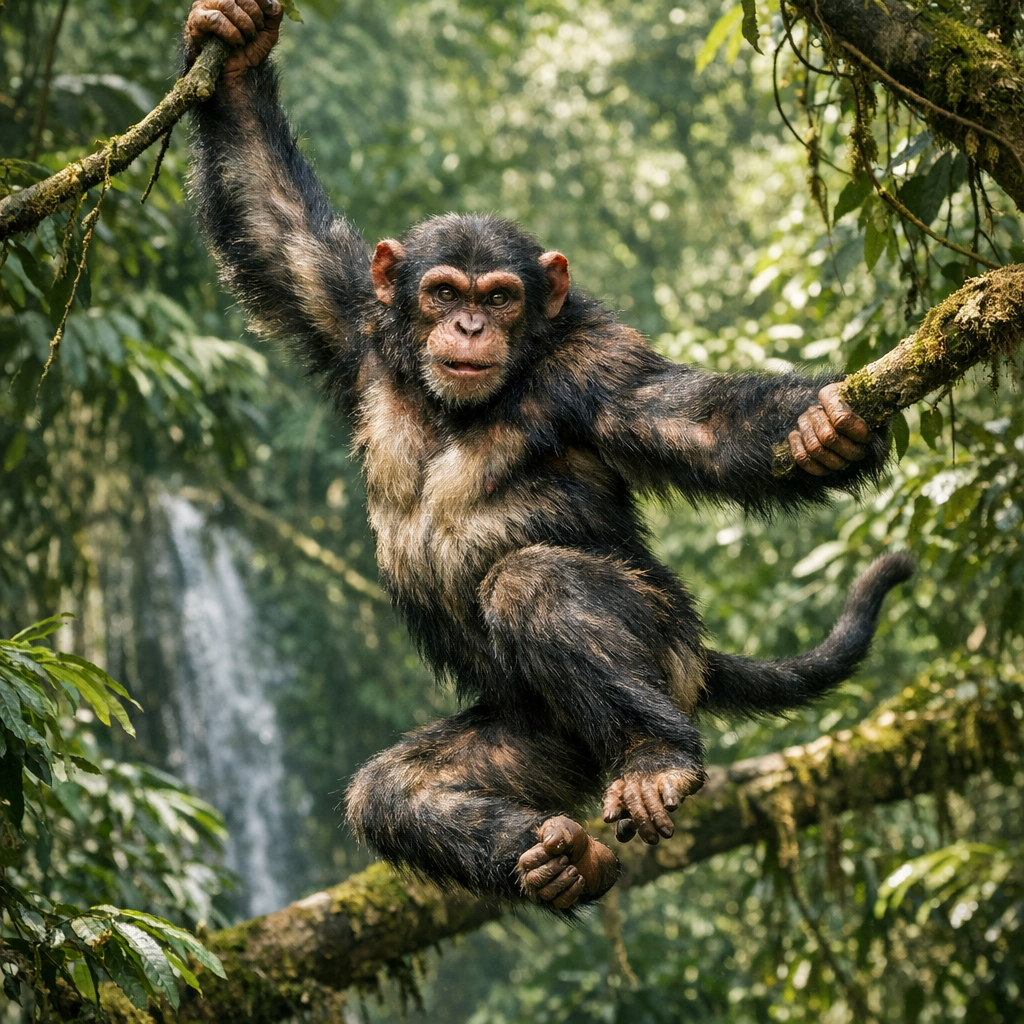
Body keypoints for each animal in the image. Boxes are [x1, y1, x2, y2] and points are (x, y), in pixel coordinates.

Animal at [183, 0, 914, 911]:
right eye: (442, 293)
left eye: (499, 297)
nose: (470, 326)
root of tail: (699, 665)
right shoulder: (350, 314)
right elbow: (273, 216)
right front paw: (237, 43)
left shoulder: (598, 370)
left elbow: (695, 420)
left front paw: (823, 430)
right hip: (534, 740)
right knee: (393, 791)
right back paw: (559, 861)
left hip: (664, 649)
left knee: (535, 582)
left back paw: (655, 757)